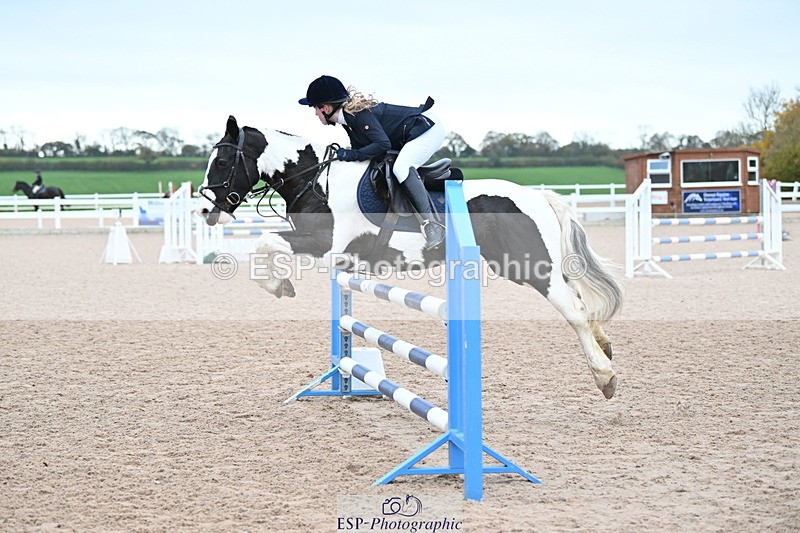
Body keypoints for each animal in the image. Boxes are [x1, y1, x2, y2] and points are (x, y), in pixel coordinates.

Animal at [196, 115, 624, 399]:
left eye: (223, 162)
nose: (204, 210)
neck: (315, 179)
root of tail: (539, 196)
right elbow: (267, 245)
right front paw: (280, 284)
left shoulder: (324, 244)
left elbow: (267, 242)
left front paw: (279, 286)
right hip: (524, 265)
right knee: (579, 300)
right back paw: (604, 345)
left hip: (529, 265)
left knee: (573, 309)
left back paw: (604, 375)